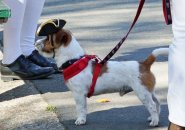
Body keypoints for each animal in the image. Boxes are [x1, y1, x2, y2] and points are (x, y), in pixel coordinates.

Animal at [35, 27, 169, 126]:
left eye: (48, 38)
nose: (36, 43)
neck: (73, 61)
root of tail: (144, 64)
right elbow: (84, 108)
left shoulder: (78, 94)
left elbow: (80, 108)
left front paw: (80, 120)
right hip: (148, 91)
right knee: (157, 103)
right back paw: (153, 118)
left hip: (142, 93)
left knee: (152, 105)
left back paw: (154, 122)